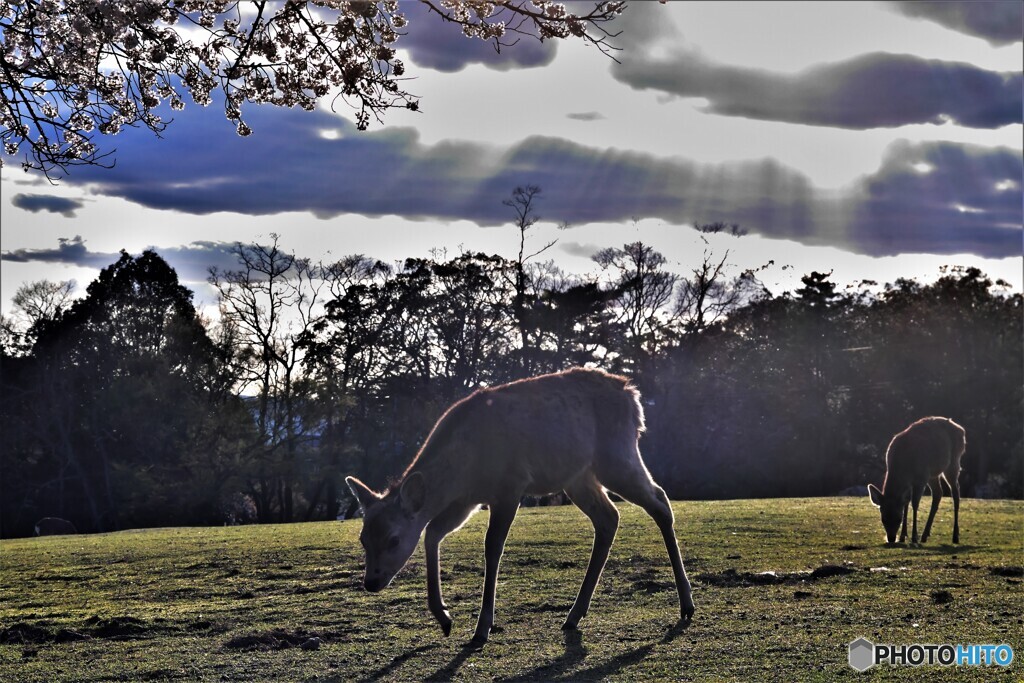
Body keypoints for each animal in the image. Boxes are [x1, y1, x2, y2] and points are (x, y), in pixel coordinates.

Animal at [346, 368, 696, 647]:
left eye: (393, 539)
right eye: (363, 538)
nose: (371, 582)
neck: (463, 470)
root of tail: (634, 397)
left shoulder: (509, 486)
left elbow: (492, 547)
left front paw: (481, 629)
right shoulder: (467, 501)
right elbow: (431, 532)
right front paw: (444, 618)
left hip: (617, 455)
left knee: (660, 500)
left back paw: (687, 604)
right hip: (578, 476)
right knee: (609, 517)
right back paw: (574, 614)